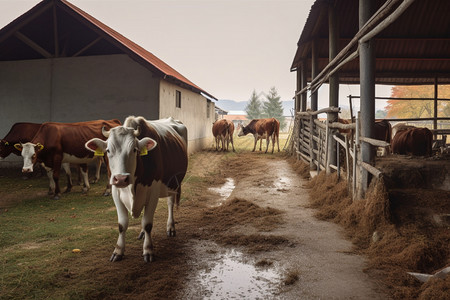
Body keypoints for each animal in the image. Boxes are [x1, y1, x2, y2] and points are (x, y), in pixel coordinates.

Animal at [85, 116, 188, 262]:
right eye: (108, 150)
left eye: (134, 150)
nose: (121, 178)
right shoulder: (116, 193)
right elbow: (122, 224)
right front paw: (118, 251)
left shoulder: (153, 192)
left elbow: (148, 224)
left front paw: (148, 250)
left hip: (173, 183)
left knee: (170, 203)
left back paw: (171, 227)